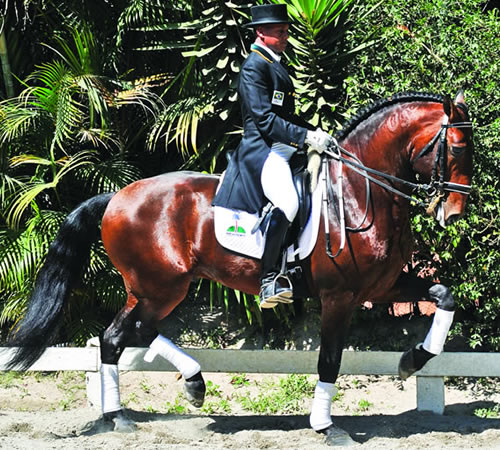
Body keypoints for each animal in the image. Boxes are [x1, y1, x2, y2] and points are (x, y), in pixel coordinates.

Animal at [5, 91, 470, 446]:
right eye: (457, 147)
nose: (455, 210)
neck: (357, 192)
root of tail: (115, 197)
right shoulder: (339, 297)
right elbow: (330, 359)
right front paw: (326, 426)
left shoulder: (382, 286)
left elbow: (444, 297)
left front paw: (413, 360)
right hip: (162, 286)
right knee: (129, 331)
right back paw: (166, 395)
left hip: (152, 287)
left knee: (120, 335)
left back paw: (133, 409)